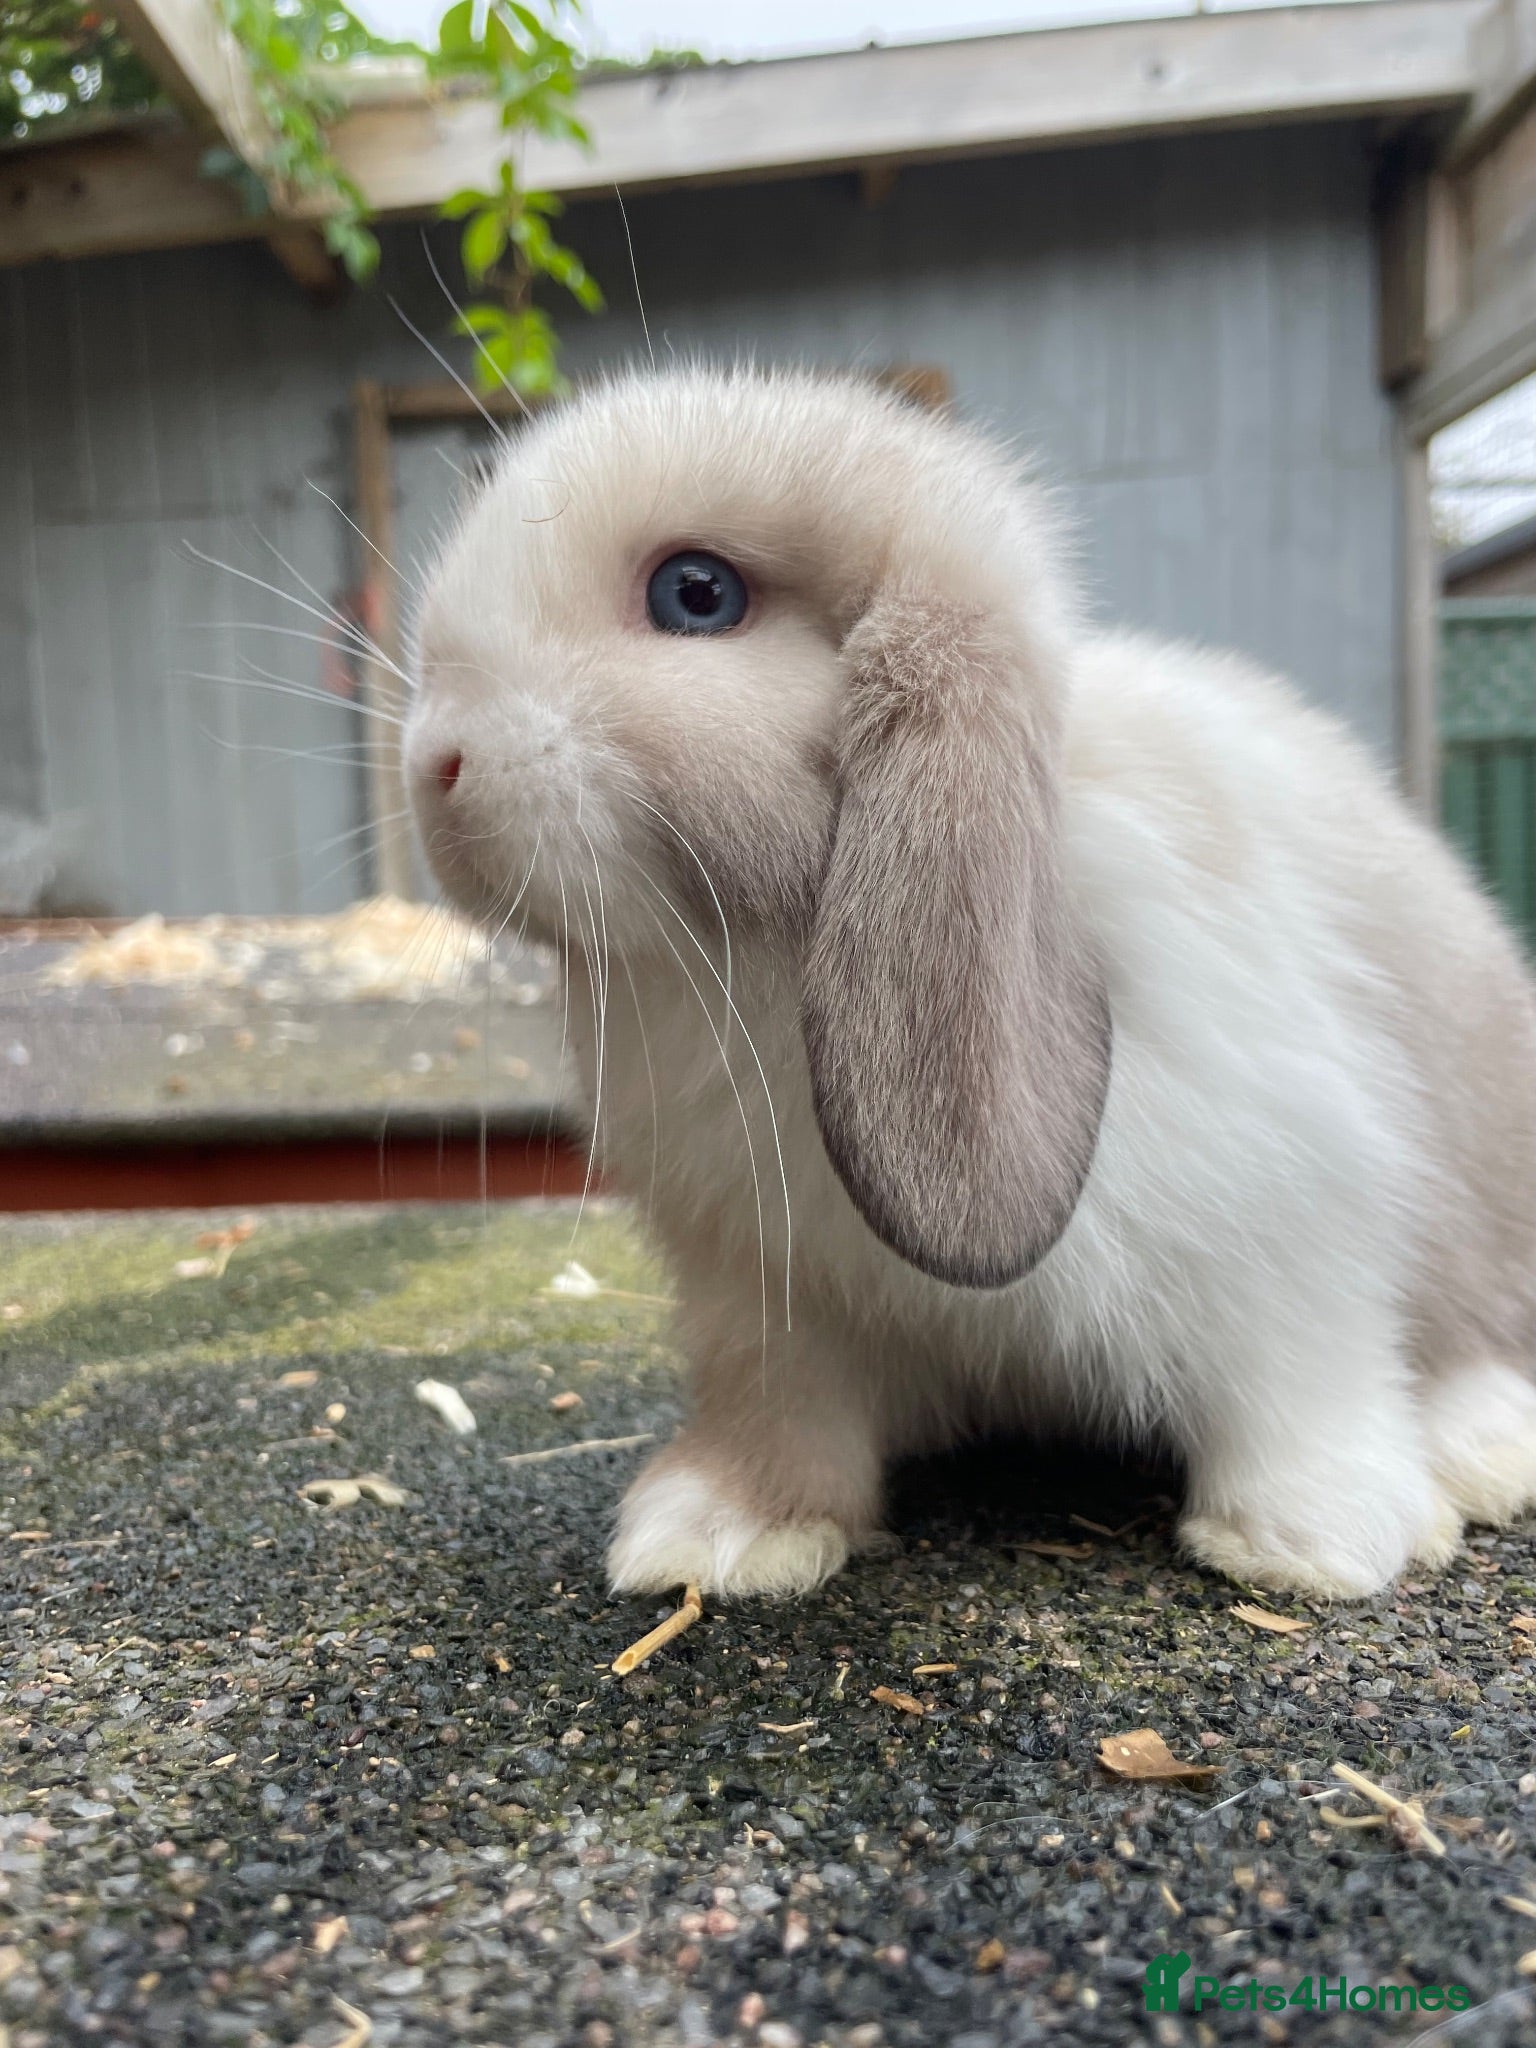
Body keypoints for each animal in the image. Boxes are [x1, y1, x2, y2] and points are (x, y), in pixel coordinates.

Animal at [403, 364, 1536, 1601]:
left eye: (696, 594)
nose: (431, 764)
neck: (767, 966)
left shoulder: (1292, 1218)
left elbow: (1300, 1384)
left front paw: (1305, 1542)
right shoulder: (767, 1297)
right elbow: (786, 1418)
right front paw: (721, 1534)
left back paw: (1477, 1456)